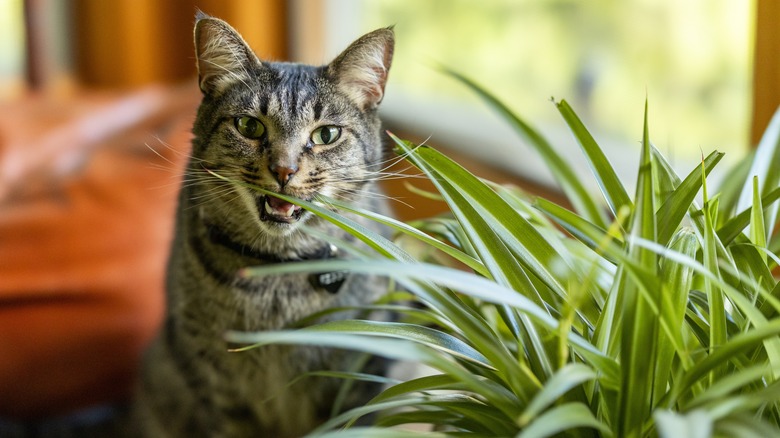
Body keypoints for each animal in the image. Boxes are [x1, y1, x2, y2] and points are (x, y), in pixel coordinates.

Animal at [133, 12, 396, 436]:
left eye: (326, 134)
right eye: (249, 126)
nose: (284, 170)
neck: (278, 276)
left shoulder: (363, 367)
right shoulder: (213, 380)